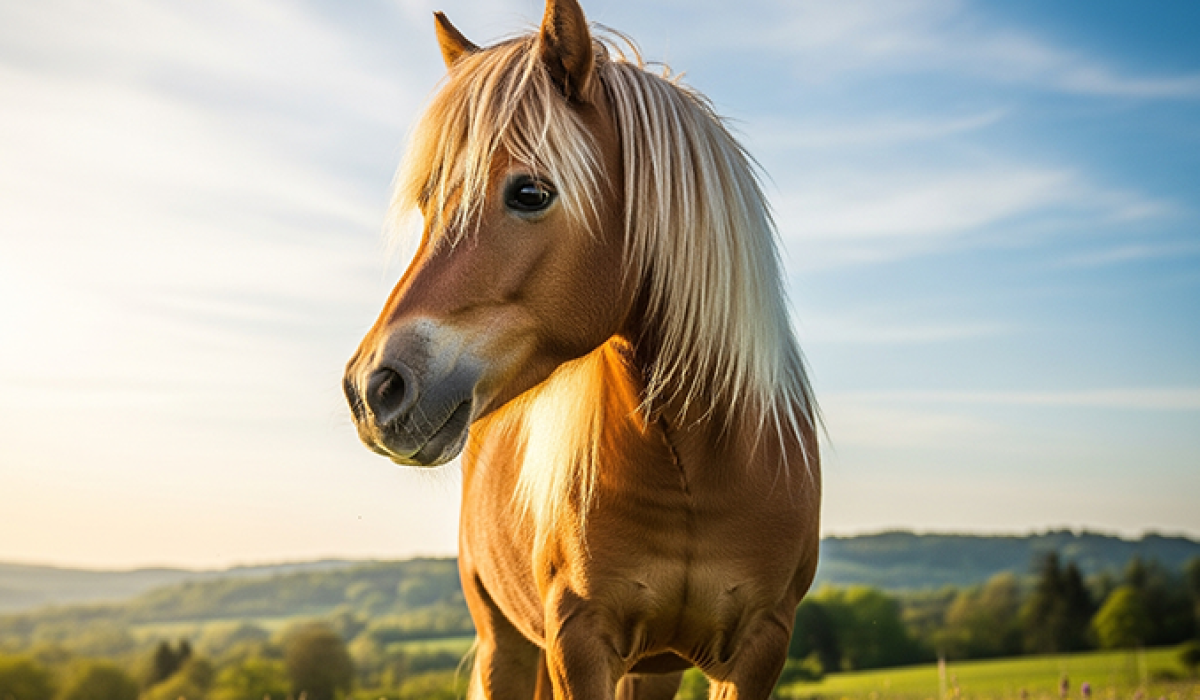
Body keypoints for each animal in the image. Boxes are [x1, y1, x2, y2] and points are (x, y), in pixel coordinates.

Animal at [343, 0, 821, 697]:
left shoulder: (761, 646)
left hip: (652, 668)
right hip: (507, 643)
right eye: (430, 203)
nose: (372, 388)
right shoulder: (579, 640)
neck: (694, 466)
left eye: (530, 193)